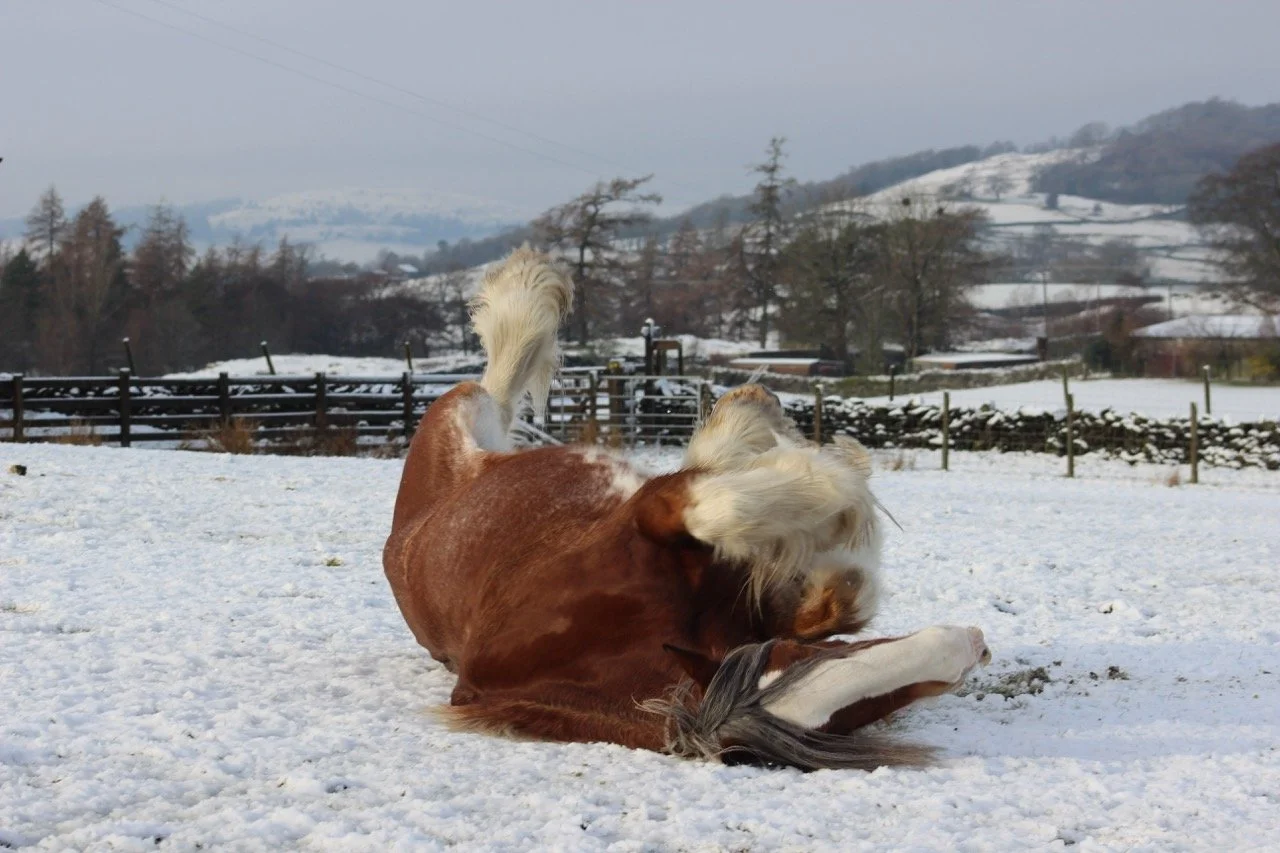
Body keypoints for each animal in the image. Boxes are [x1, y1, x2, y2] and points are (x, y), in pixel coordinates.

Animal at [383, 247, 990, 770]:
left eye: (857, 712)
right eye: (793, 661)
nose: (974, 644)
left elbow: (841, 597)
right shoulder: (653, 510)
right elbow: (725, 505)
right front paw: (831, 486)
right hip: (463, 415)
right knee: (497, 378)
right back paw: (529, 289)